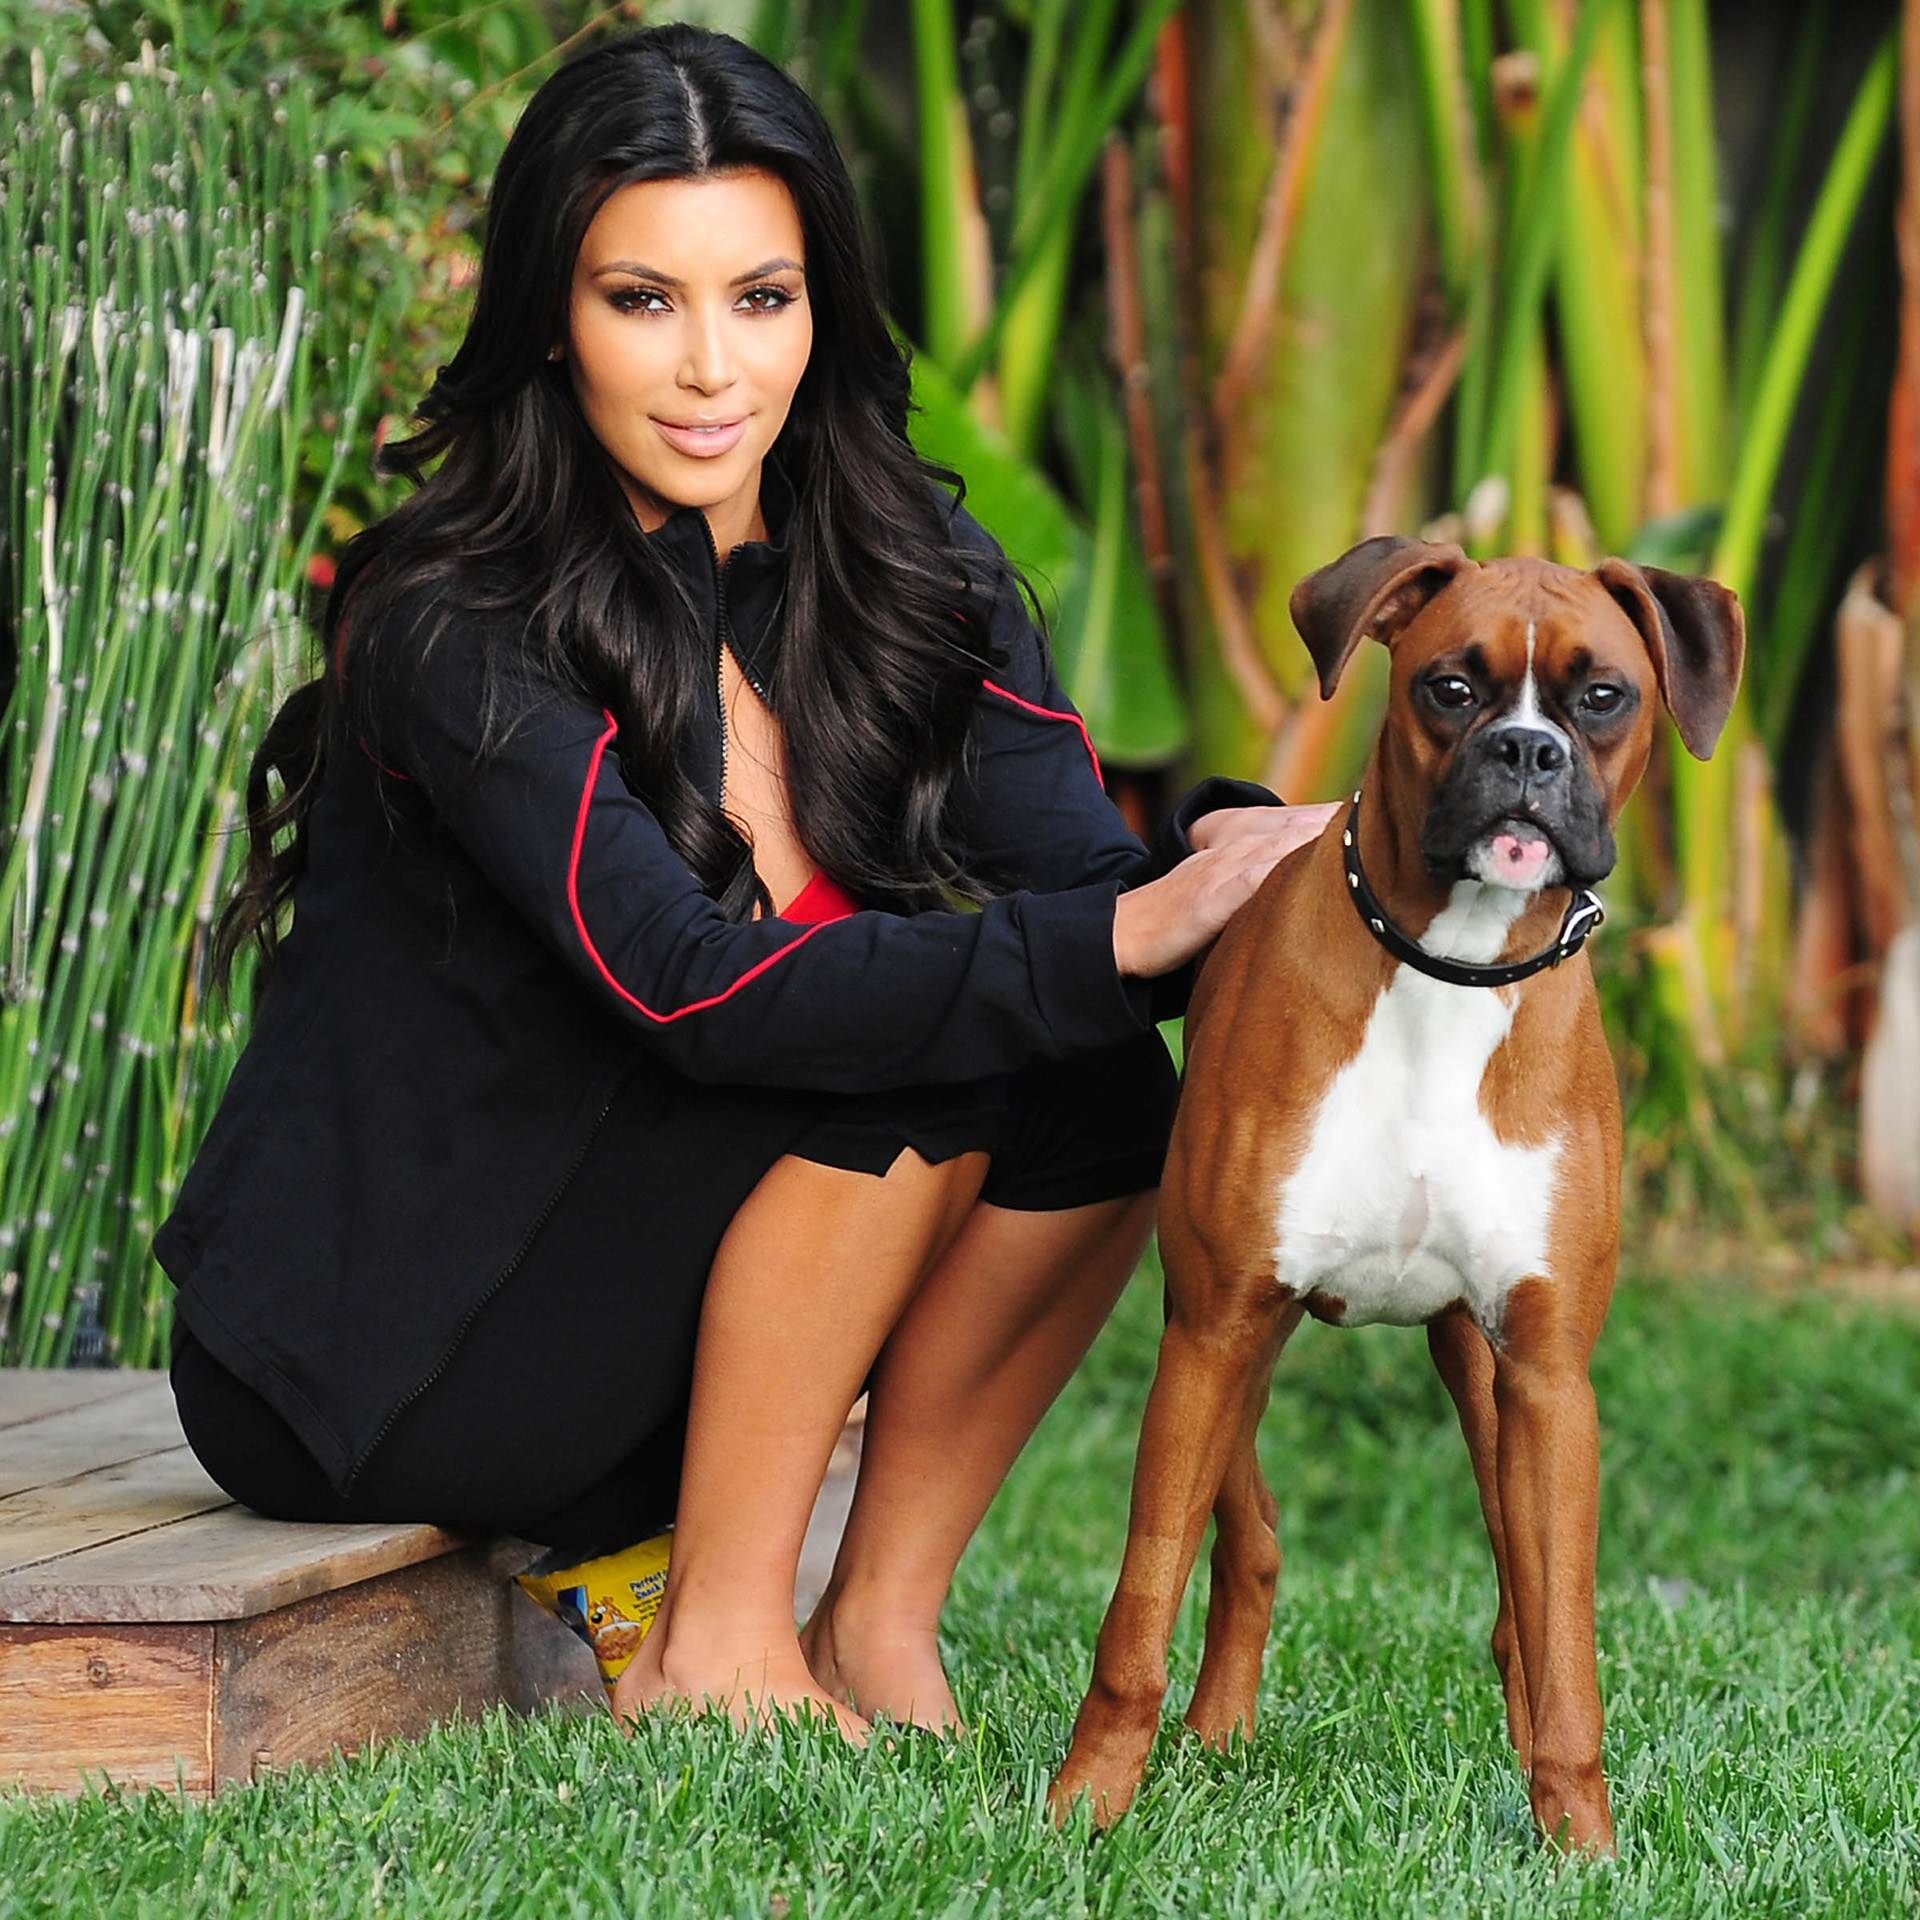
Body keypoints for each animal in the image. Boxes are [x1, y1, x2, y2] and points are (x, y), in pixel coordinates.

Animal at [1044, 533, 1751, 1850]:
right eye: (1451, 687)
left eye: (1603, 696)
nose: (1526, 754)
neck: (1451, 970)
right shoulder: (1215, 1326)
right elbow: (1139, 1610)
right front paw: (1082, 1811)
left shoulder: (1547, 1376)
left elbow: (1566, 1646)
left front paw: (1582, 1848)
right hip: (1225, 1350)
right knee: (1252, 1540)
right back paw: (1215, 1737)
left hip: (1481, 1381)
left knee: (1519, 1600)